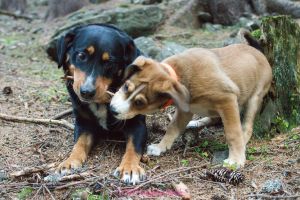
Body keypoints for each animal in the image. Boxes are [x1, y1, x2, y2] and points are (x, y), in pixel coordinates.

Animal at [51, 23, 148, 184]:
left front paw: (129, 168)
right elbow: (79, 144)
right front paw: (69, 162)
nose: (86, 92)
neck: (102, 102)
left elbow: (133, 147)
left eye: (109, 62)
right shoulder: (83, 122)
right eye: (81, 56)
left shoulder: (137, 123)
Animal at [109, 34, 272, 167]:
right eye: (125, 86)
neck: (179, 74)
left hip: (255, 97)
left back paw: (243, 141)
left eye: (139, 103)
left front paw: (236, 159)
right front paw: (160, 147)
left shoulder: (227, 99)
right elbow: (172, 128)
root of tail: (258, 51)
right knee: (214, 118)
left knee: (247, 126)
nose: (112, 110)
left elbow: (233, 133)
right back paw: (197, 122)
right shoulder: (185, 110)